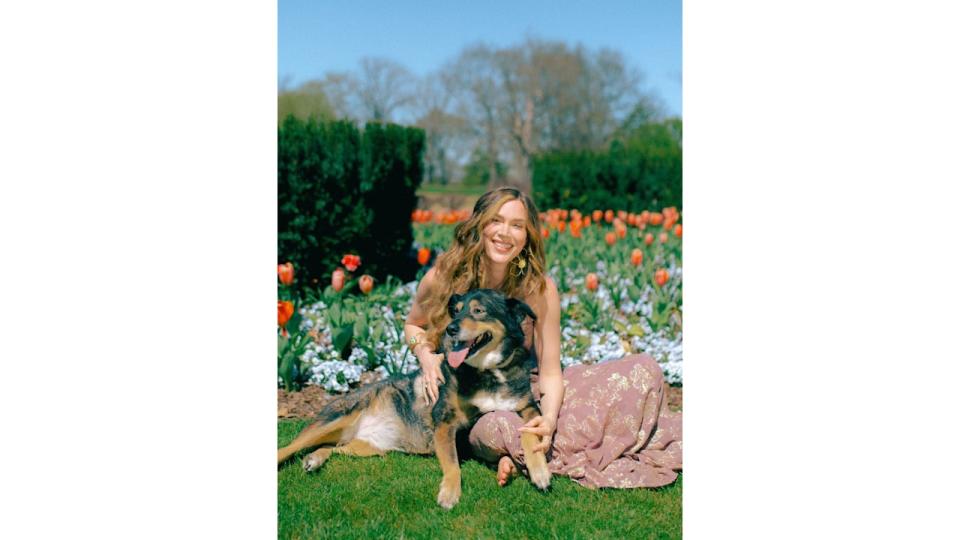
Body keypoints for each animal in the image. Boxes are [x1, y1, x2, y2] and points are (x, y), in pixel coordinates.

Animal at [274, 288, 552, 508]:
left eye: (478, 310)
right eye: (456, 311)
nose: (451, 329)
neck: (488, 372)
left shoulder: (529, 407)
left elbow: (531, 432)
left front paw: (540, 473)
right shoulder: (445, 421)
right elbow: (452, 463)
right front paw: (449, 493)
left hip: (365, 447)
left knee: (335, 447)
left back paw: (315, 459)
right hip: (336, 418)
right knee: (290, 447)